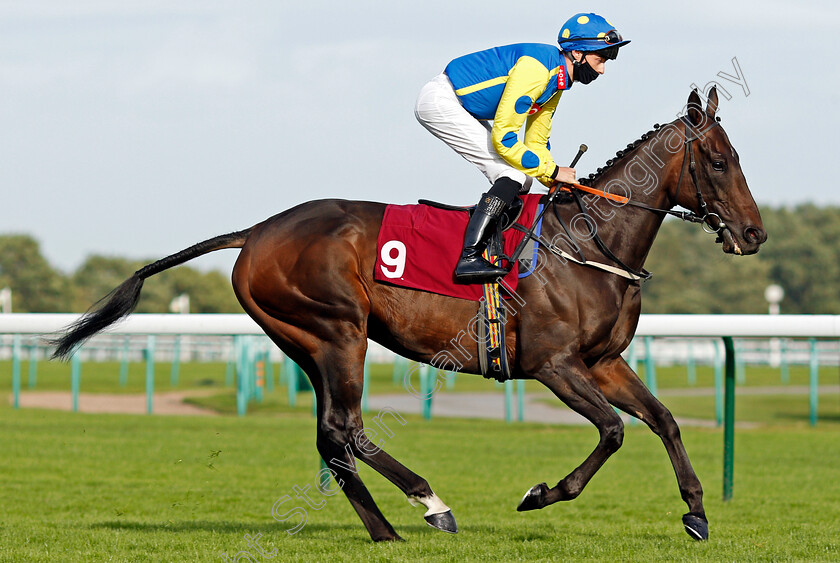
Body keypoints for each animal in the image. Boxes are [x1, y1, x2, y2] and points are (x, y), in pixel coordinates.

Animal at [52, 88, 768, 540]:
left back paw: (386, 530)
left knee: (331, 436)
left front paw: (697, 514)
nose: (753, 233)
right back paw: (430, 504)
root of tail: (254, 233)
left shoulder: (604, 362)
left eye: (736, 158)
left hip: (305, 342)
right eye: (717, 160)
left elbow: (665, 420)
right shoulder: (554, 365)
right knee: (346, 427)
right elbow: (615, 432)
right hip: (337, 331)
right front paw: (539, 494)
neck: (587, 245)